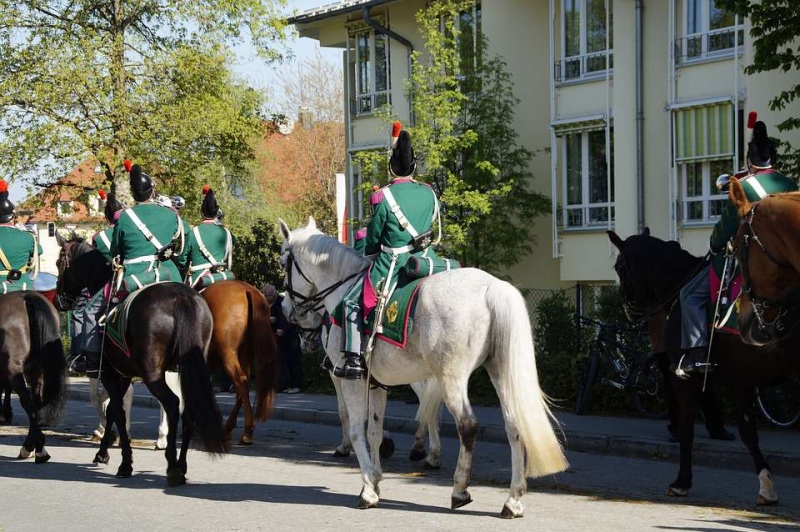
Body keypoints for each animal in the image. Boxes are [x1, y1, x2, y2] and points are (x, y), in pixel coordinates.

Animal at [0, 290, 66, 462]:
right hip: (35, 369)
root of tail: (26, 297)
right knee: (35, 402)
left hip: (15, 368)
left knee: (27, 402)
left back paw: (37, 448)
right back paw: (33, 446)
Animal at [55, 234, 228, 486]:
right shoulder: (123, 375)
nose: (60, 301)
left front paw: (124, 462)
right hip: (191, 368)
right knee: (189, 409)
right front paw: (103, 452)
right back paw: (182, 465)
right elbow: (113, 410)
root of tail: (182, 296)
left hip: (152, 373)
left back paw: (172, 466)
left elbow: (116, 410)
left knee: (172, 404)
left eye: (60, 263)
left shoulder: (109, 374)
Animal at [202, 278, 280, 444]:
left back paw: (246, 431)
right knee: (242, 385)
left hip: (228, 353)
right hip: (245, 354)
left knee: (240, 380)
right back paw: (233, 430)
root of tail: (247, 289)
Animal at [278, 218, 564, 516]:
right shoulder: (376, 384)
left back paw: (459, 489)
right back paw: (512, 499)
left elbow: (356, 427)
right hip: (498, 372)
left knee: (466, 425)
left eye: (283, 260)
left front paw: (367, 489)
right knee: (513, 426)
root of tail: (491, 288)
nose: (286, 309)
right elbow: (374, 431)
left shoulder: (349, 379)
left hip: (451, 377)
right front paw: (376, 479)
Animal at [608, 227, 796, 504]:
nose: (629, 309)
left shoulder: (685, 380)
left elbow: (687, 431)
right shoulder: (741, 381)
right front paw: (766, 486)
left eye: (619, 266)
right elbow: (748, 432)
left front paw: (681, 482)